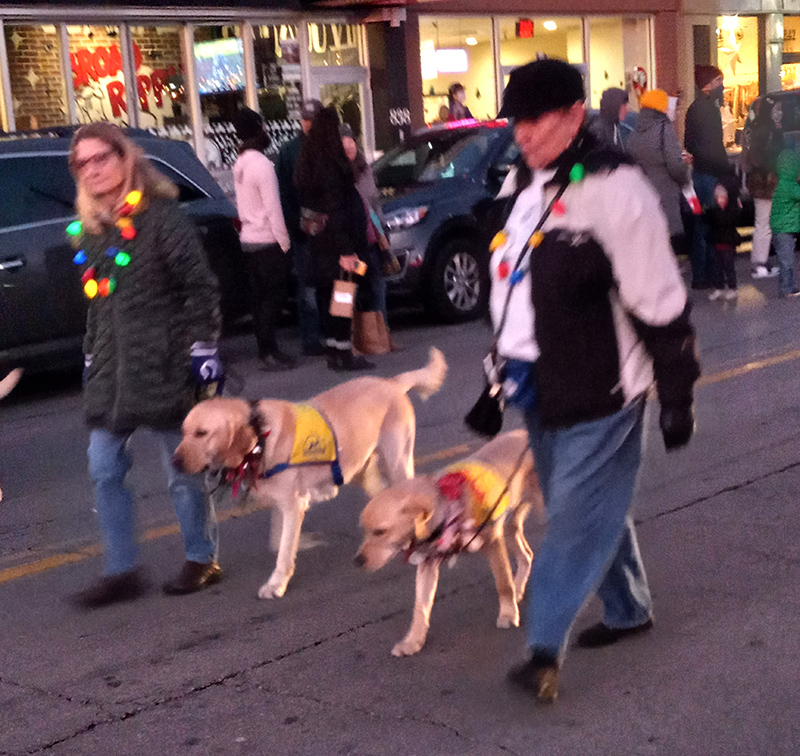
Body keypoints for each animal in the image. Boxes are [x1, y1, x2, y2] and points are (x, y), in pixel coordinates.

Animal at [175, 346, 446, 600]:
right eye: (183, 431)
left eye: (201, 433)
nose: (175, 462)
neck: (260, 437)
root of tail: (391, 382)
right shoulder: (284, 503)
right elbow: (278, 541)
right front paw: (303, 543)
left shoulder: (292, 503)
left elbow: (283, 548)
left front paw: (277, 584)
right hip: (361, 472)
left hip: (397, 461)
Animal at [358, 432, 540, 656]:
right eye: (365, 530)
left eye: (380, 532)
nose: (358, 561)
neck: (446, 509)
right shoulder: (427, 563)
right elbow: (421, 607)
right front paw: (413, 641)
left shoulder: (493, 543)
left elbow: (503, 583)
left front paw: (508, 614)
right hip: (507, 526)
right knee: (527, 555)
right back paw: (519, 588)